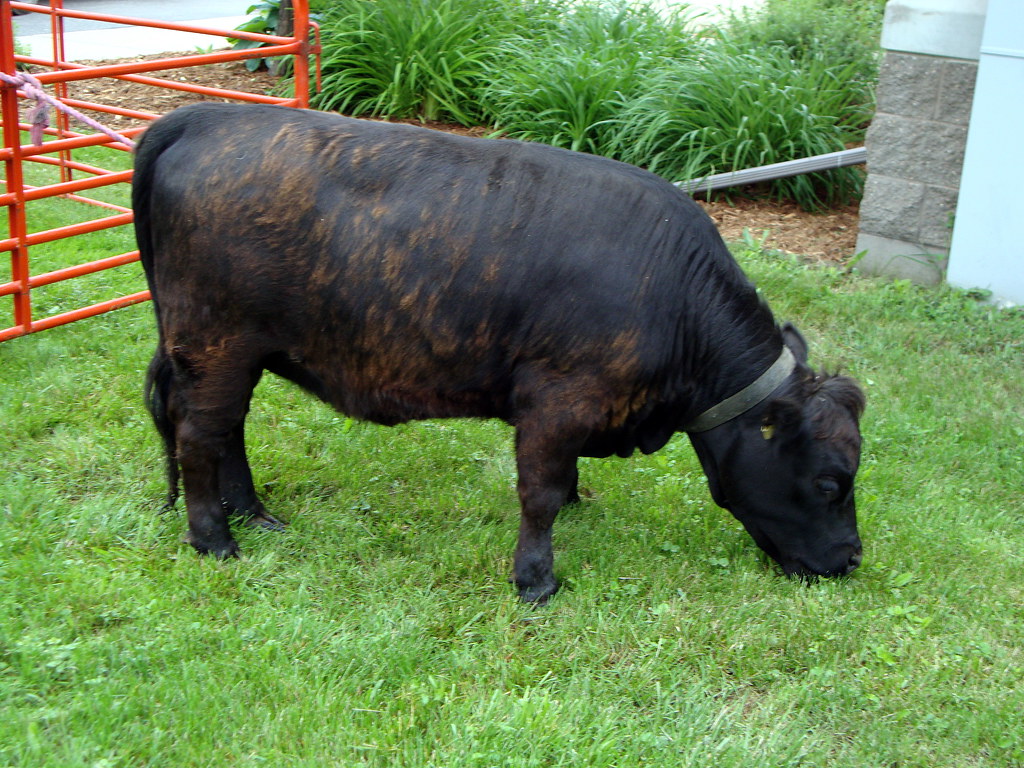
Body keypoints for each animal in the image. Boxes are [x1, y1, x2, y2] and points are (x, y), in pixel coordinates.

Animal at [132, 103, 866, 603]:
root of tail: (206, 115)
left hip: (228, 353)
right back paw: (216, 538)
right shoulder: (558, 400)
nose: (854, 560)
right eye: (831, 482)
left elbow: (558, 486)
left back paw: (253, 515)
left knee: (225, 432)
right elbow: (537, 493)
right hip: (217, 343)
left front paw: (574, 507)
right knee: (199, 436)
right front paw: (536, 579)